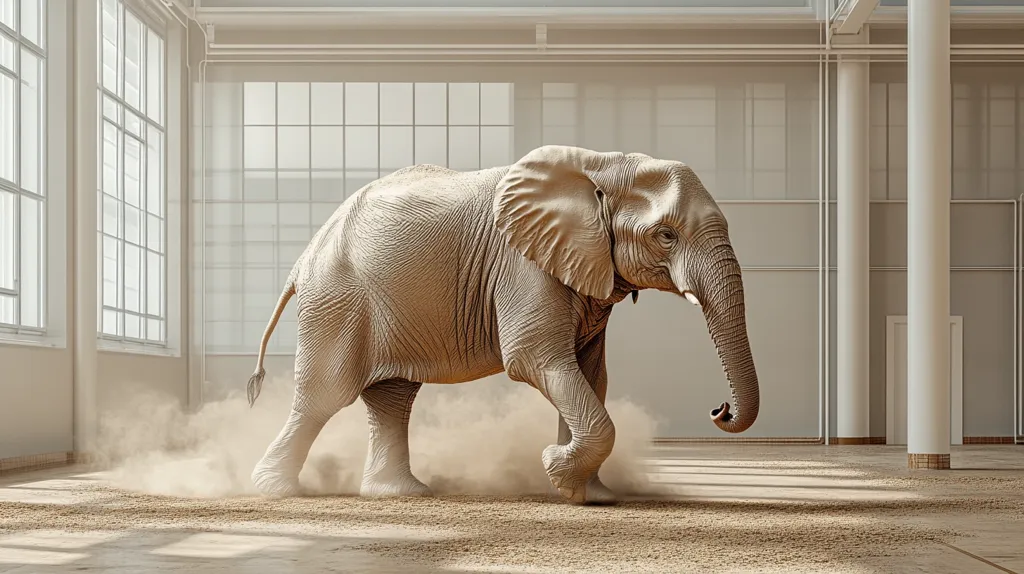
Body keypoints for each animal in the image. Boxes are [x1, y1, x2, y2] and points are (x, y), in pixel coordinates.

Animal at [245, 144, 760, 505]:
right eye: (666, 235)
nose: (719, 409)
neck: (604, 165)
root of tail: (304, 257)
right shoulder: (523, 265)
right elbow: (537, 359)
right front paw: (558, 470)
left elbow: (591, 374)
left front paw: (588, 494)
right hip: (338, 299)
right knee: (324, 396)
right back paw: (274, 491)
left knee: (392, 399)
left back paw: (401, 493)